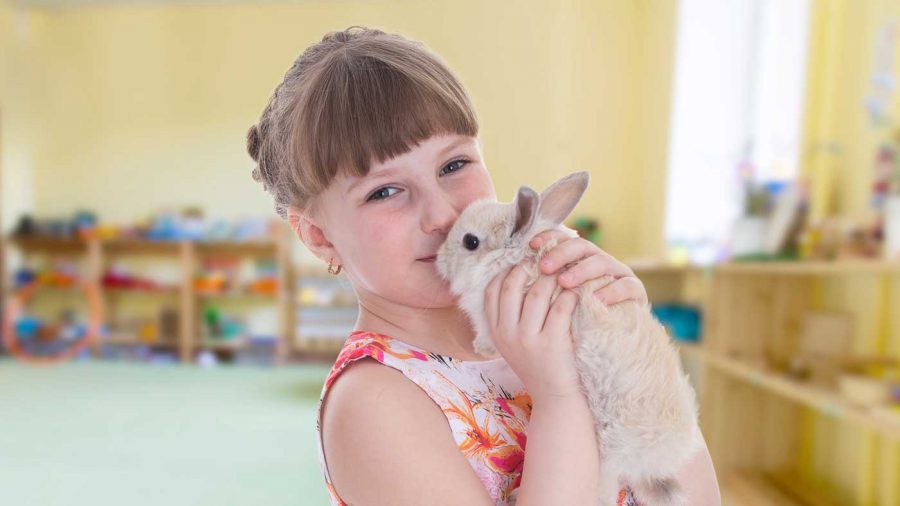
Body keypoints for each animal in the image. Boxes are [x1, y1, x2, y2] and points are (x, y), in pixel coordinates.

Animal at [436, 171, 704, 506]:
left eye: (470, 242)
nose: (438, 258)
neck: (515, 257)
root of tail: (659, 460)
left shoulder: (487, 319)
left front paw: (481, 347)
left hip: (609, 448)